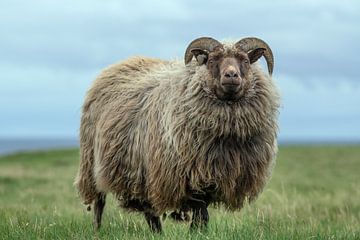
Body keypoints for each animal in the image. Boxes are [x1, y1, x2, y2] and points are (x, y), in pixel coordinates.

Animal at [74, 36, 280, 232]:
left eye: (245, 60)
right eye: (212, 60)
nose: (231, 75)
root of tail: (118, 65)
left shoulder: (208, 176)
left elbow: (201, 215)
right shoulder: (190, 177)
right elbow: (201, 213)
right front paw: (196, 233)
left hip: (142, 174)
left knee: (149, 211)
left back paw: (157, 233)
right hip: (94, 163)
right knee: (100, 203)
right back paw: (97, 230)